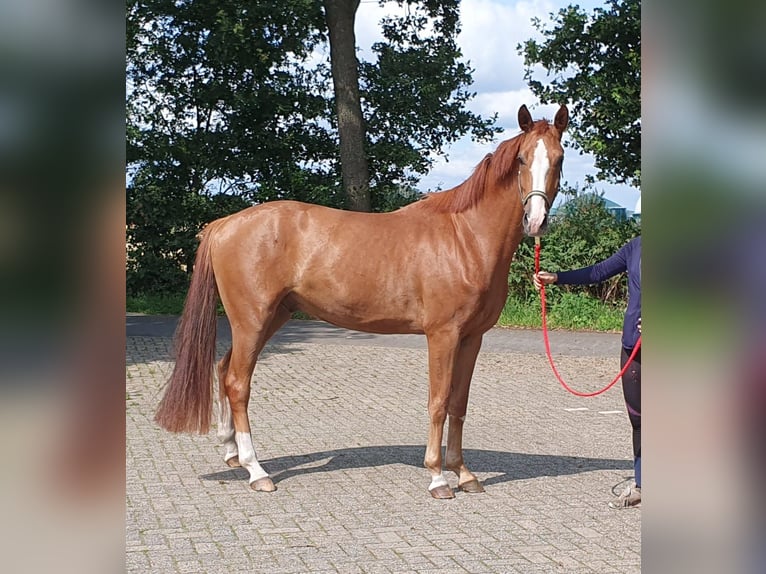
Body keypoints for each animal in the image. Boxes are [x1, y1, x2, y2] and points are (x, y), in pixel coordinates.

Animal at [158, 103, 568, 500]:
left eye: (560, 158)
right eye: (522, 159)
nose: (536, 221)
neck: (464, 237)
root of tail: (223, 225)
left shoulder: (472, 338)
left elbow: (458, 403)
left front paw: (464, 474)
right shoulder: (443, 336)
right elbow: (438, 402)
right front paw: (437, 478)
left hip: (271, 319)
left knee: (223, 370)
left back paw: (232, 454)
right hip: (252, 320)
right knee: (237, 383)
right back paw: (256, 471)